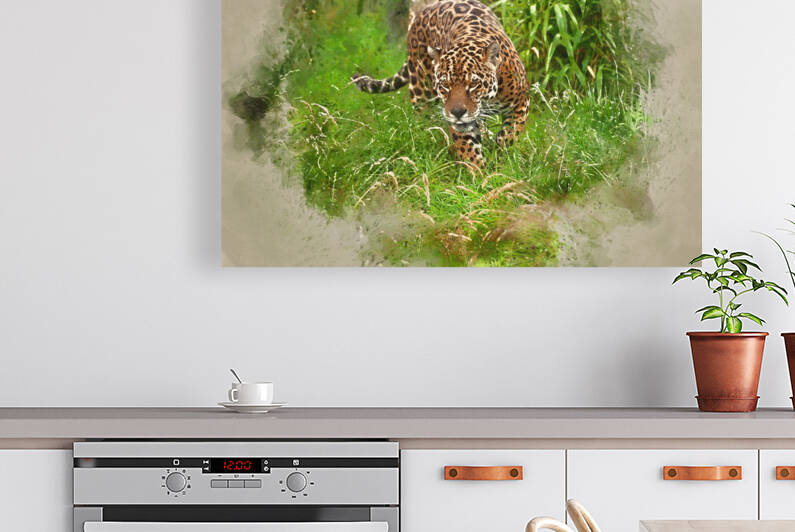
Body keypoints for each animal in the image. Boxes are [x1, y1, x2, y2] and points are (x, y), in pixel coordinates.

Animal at [351, 0, 529, 168]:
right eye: (445, 86)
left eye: (474, 84)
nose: (457, 113)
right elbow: (469, 151)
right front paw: (480, 175)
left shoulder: (521, 103)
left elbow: (510, 134)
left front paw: (500, 155)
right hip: (421, 93)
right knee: (422, 126)